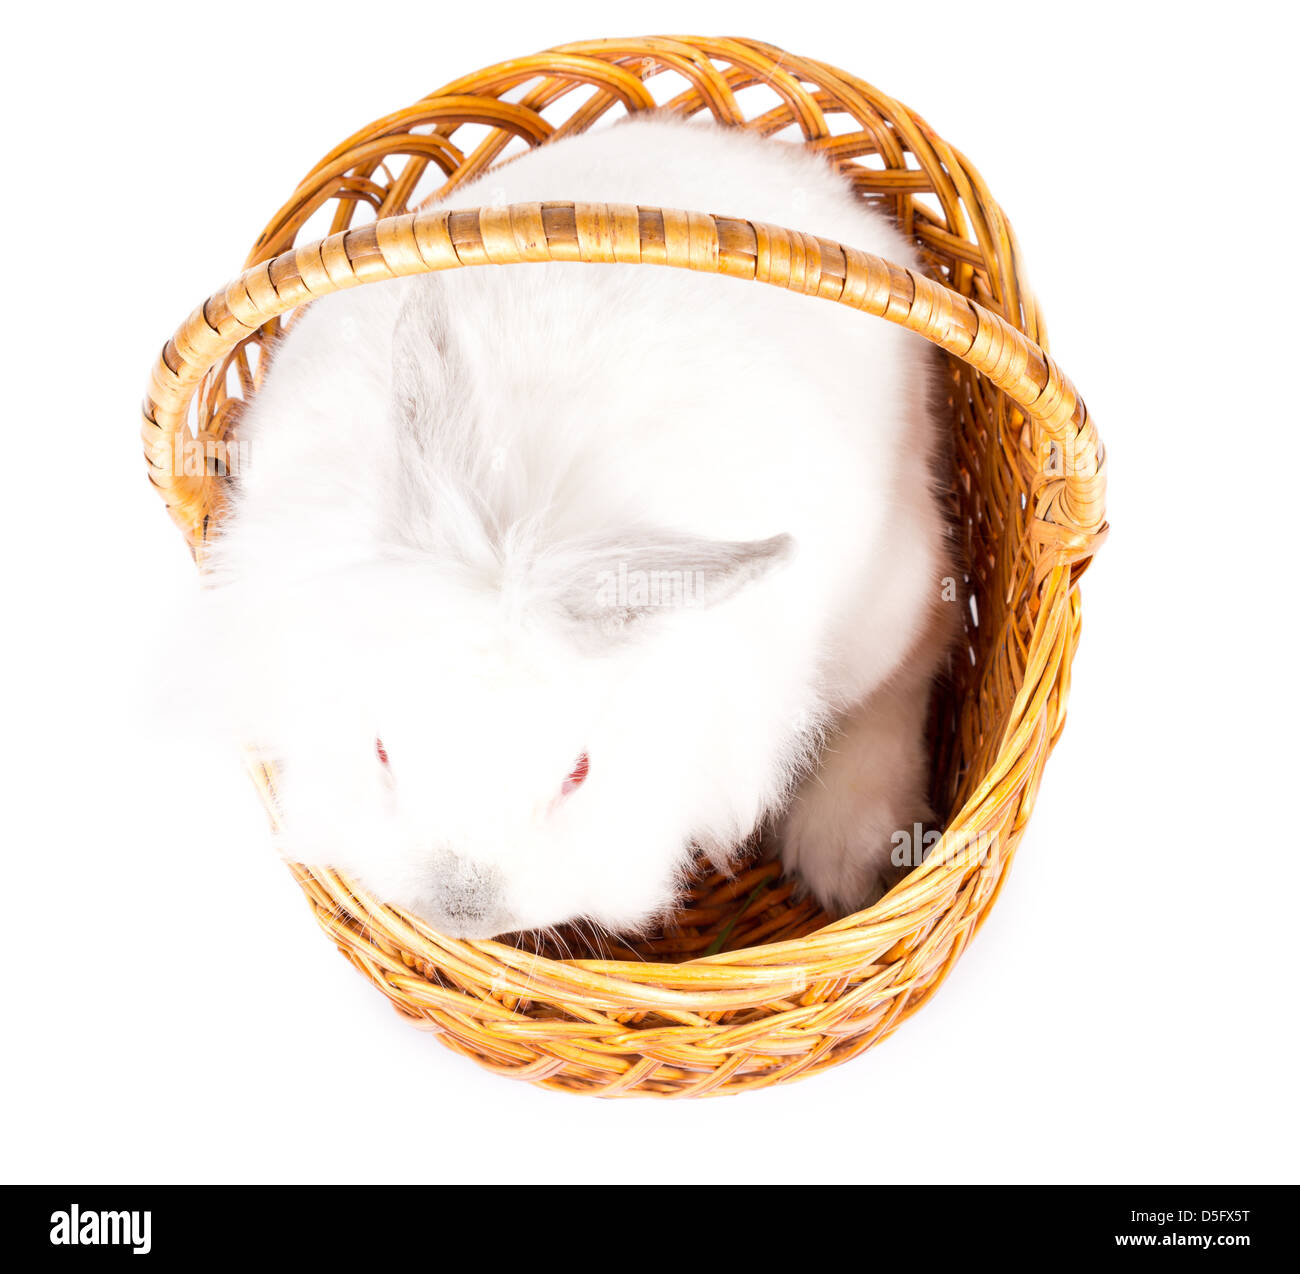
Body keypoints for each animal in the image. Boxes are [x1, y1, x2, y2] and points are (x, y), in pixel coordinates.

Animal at [202, 113, 956, 940]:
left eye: (579, 771)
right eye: (381, 750)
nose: (463, 910)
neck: (527, 517)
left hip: (891, 599)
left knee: (920, 653)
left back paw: (852, 852)